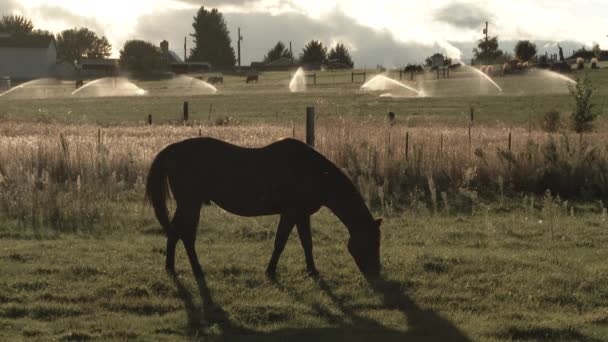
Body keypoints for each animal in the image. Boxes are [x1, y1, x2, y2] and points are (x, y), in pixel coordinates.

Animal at [147, 138, 382, 280]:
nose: (376, 273)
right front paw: (271, 271)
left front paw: (312, 270)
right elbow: (280, 242)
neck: (313, 172)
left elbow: (306, 243)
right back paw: (197, 270)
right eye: (371, 242)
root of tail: (172, 149)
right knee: (187, 236)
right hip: (190, 204)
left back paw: (170, 268)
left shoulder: (301, 214)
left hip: (186, 204)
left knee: (174, 232)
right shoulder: (291, 213)